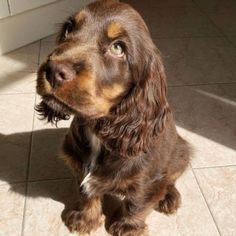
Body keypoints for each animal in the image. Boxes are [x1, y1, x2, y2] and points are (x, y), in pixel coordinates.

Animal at [35, 0, 192, 235]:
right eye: (69, 29)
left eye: (118, 48)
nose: (53, 71)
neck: (97, 130)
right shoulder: (78, 165)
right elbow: (86, 193)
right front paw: (85, 219)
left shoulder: (146, 180)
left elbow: (137, 203)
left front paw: (127, 226)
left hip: (181, 153)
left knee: (169, 180)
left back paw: (169, 197)